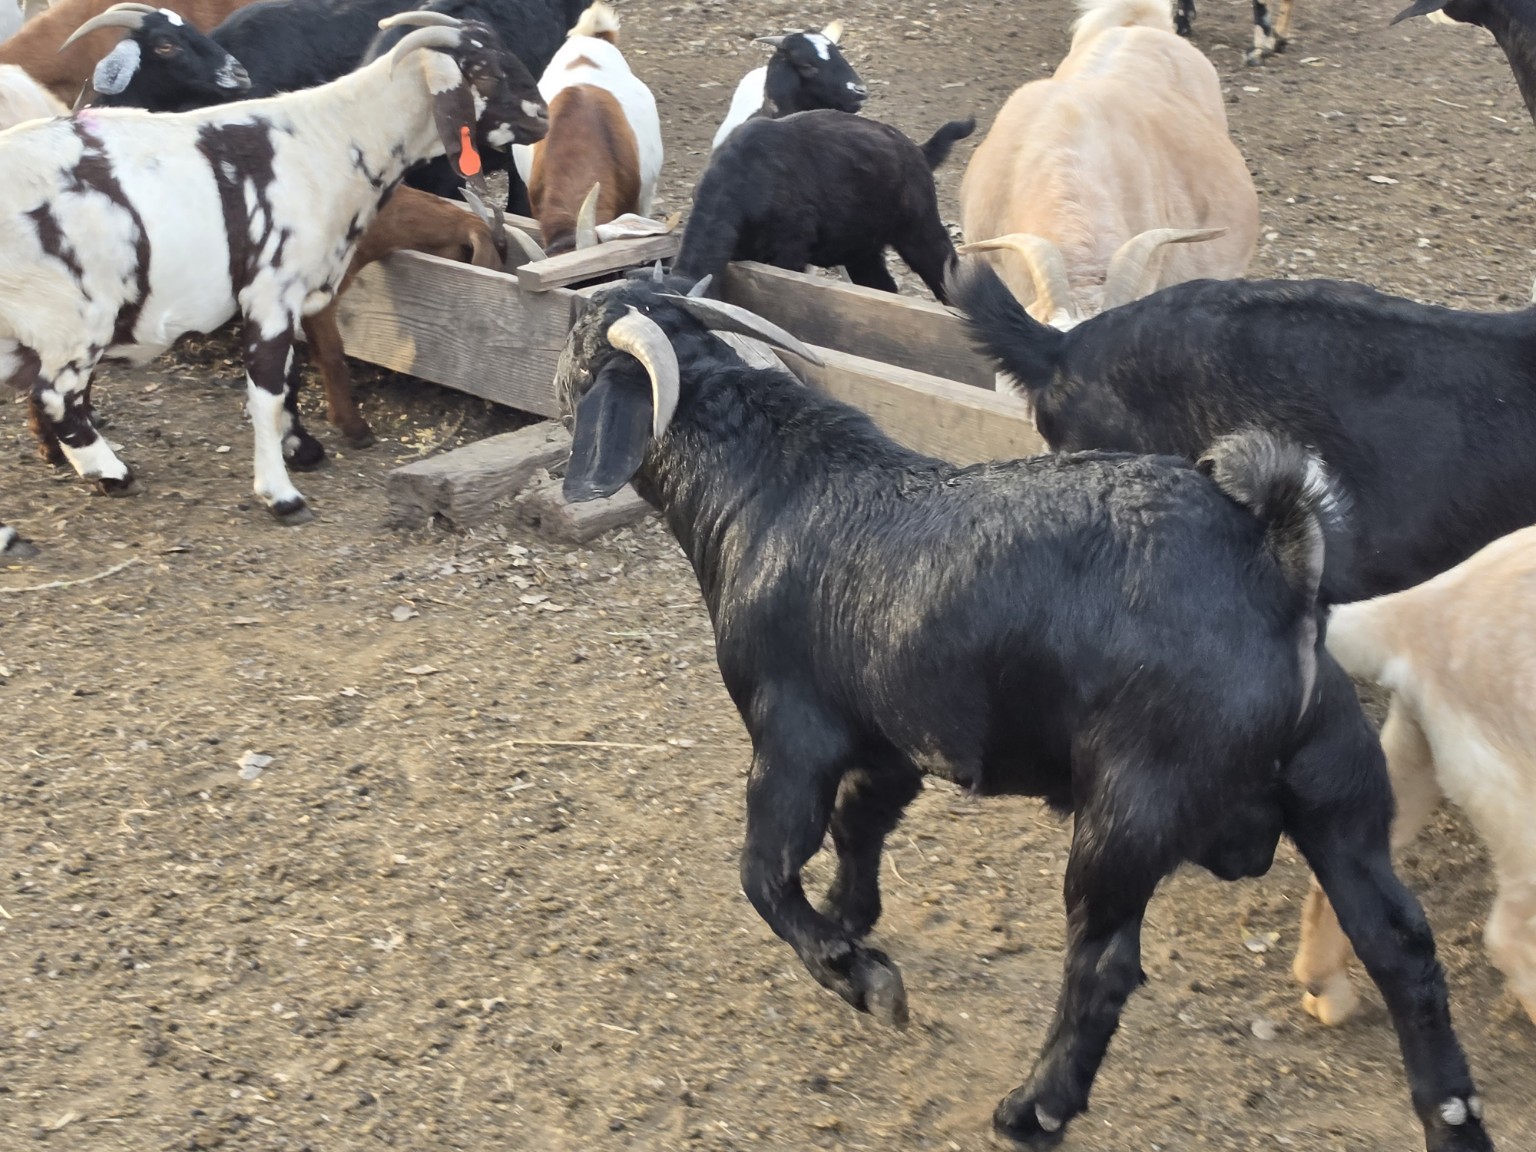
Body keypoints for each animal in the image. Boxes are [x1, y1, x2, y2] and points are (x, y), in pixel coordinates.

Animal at [0, 12, 544, 540]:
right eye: (482, 71)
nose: (541, 116)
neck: (332, 137)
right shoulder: (271, 289)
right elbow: (266, 389)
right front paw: (281, 495)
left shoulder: (294, 296)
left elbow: (290, 376)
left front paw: (301, 448)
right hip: (73, 315)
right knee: (54, 393)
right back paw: (110, 473)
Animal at [554, 273, 1496, 1152]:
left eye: (579, 342)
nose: (562, 320)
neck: (765, 487)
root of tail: (1273, 561)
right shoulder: (895, 738)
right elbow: (860, 826)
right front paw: (852, 921)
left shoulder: (791, 735)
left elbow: (764, 871)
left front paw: (856, 975)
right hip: (1337, 792)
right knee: (1400, 946)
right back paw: (1452, 1117)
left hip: (1132, 809)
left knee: (1103, 966)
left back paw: (1033, 1108)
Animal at [1291, 526, 1536, 1033]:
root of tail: (1422, 606)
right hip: (1520, 808)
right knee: (1506, 935)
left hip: (1411, 761)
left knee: (1336, 881)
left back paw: (1328, 991)